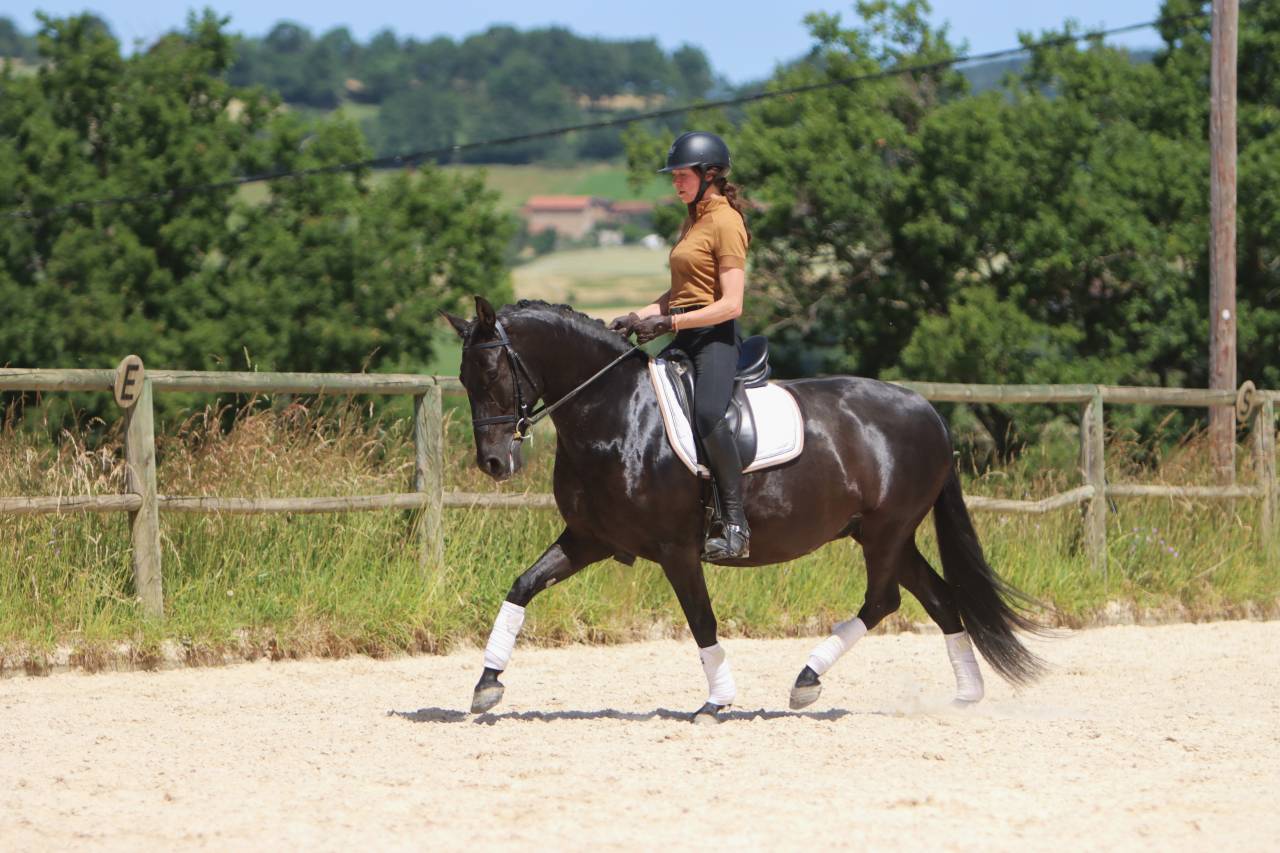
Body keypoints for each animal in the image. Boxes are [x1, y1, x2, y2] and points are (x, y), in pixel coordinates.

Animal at [444, 296, 1045, 722]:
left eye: (493, 375)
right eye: (464, 379)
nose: (494, 462)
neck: (617, 414)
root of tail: (927, 409)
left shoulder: (675, 549)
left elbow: (701, 619)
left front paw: (717, 703)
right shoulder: (588, 539)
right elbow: (522, 586)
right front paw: (486, 686)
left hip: (886, 531)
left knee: (884, 600)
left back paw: (806, 681)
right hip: (884, 534)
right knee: (937, 598)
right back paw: (965, 695)